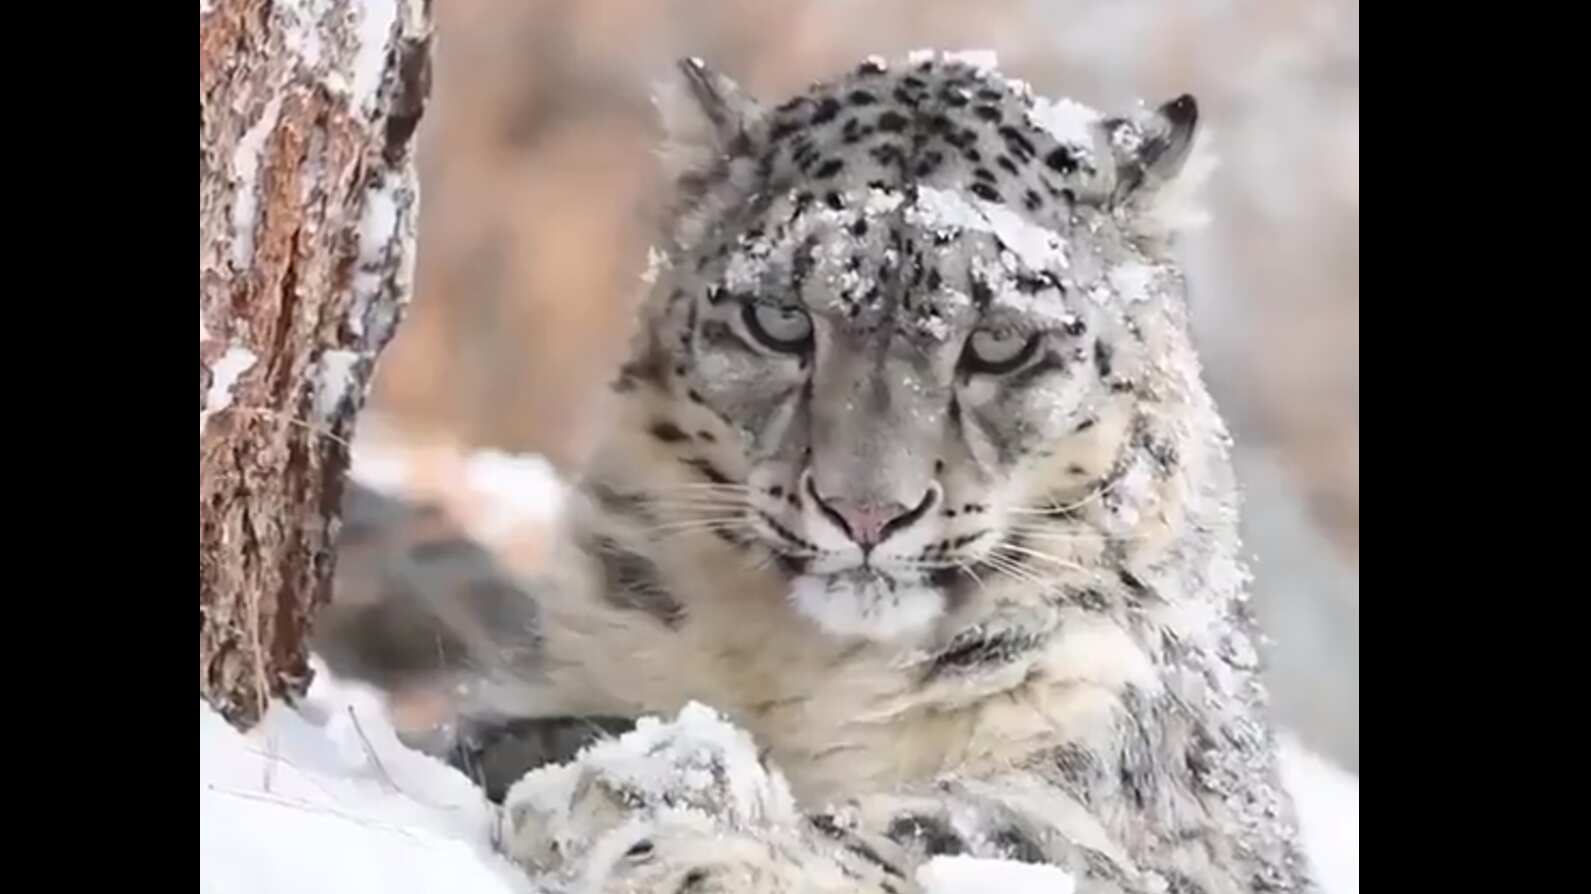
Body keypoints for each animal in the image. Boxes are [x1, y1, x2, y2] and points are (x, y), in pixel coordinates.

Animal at [315, 50, 1318, 894]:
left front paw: (658, 825)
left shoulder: (1133, 801)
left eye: (1000, 342)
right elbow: (490, 733)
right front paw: (605, 775)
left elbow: (970, 837)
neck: (811, 673)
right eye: (780, 320)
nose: (865, 512)